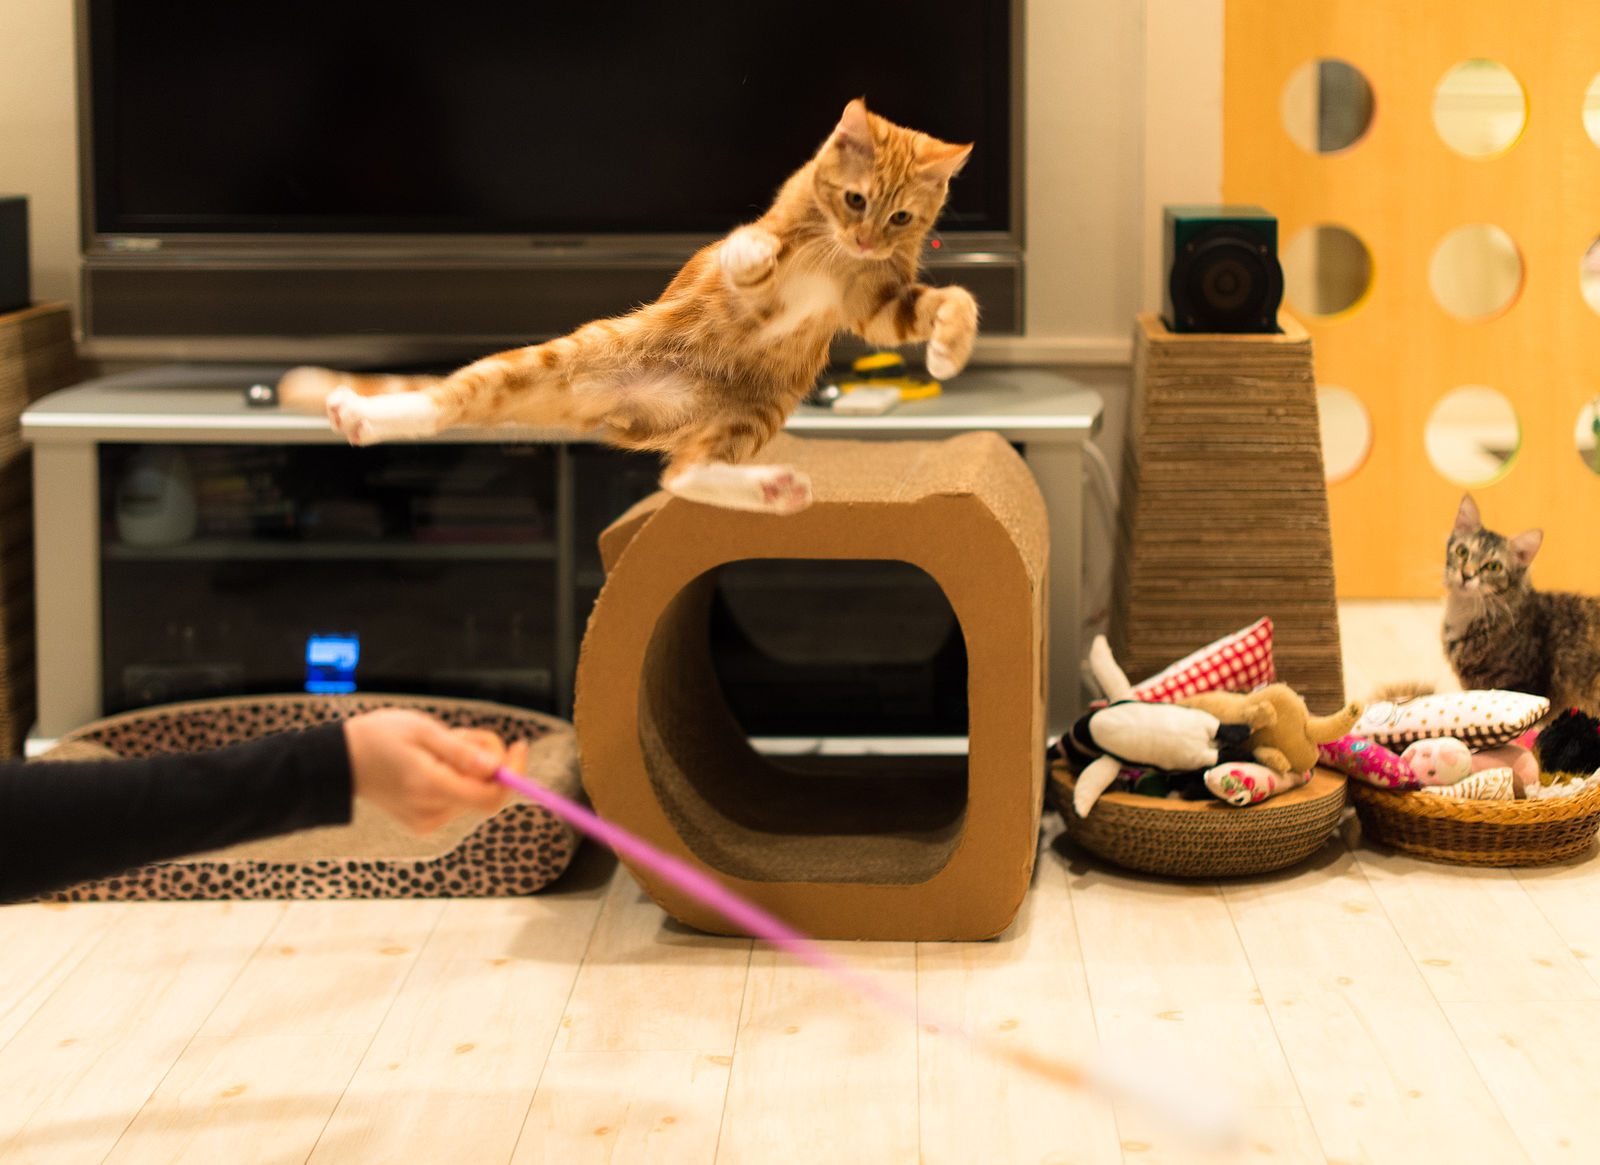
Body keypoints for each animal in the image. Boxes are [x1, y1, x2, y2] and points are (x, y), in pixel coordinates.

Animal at [276, 101, 972, 515]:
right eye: (855, 200)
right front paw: (752, 252)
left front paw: (947, 347)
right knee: (446, 400)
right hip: (556, 358)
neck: (835, 254)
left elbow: (944, 303)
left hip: (753, 415)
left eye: (900, 218)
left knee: (680, 476)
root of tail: (631, 407)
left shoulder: (874, 300)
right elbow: (749, 254)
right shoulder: (764, 262)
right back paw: (365, 415)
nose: (866, 240)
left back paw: (770, 488)